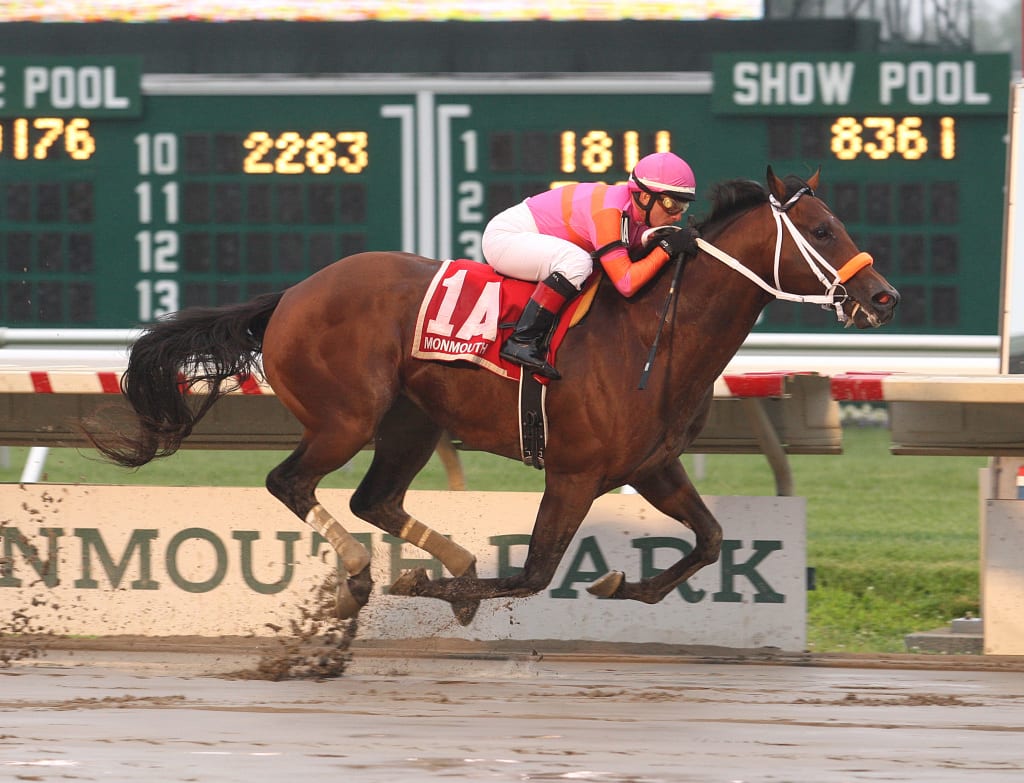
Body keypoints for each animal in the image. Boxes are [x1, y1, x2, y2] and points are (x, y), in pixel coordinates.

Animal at [88, 167, 901, 626]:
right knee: (290, 482)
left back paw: (447, 560)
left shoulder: (652, 467)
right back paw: (364, 574)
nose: (883, 296)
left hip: (410, 423)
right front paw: (432, 585)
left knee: (374, 498)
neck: (655, 334)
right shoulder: (574, 473)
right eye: (823, 227)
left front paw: (624, 588)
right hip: (344, 418)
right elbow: (535, 574)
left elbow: (708, 540)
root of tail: (291, 294)